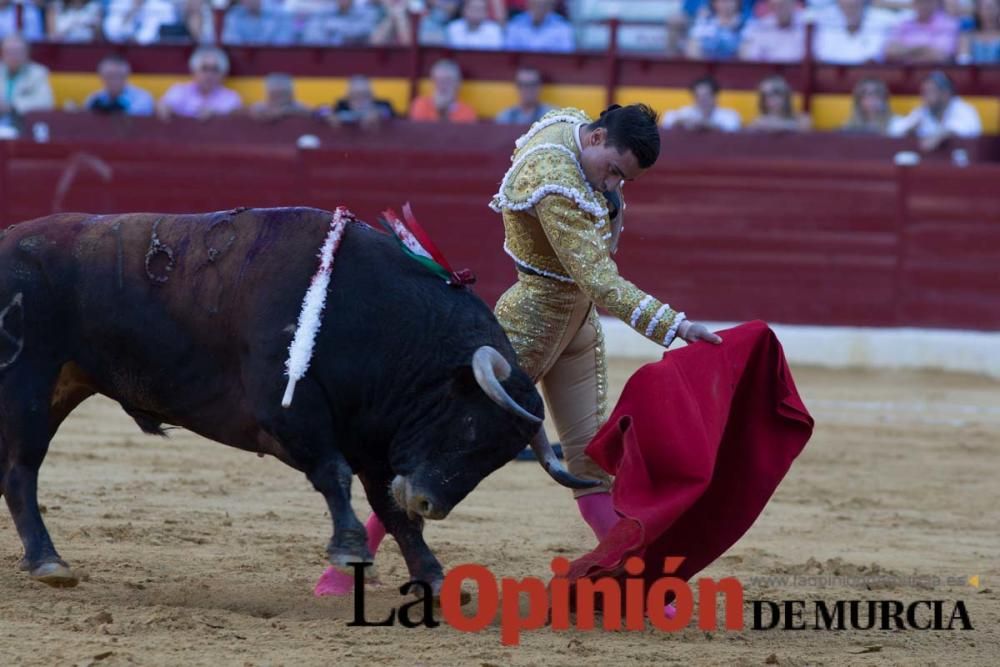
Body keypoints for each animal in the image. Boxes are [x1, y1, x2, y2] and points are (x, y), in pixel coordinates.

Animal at [0, 207, 592, 588]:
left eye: (498, 459)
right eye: (470, 426)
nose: (431, 502)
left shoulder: (372, 441)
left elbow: (391, 511)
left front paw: (433, 576)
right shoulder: (288, 416)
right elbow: (334, 475)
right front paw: (351, 551)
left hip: (60, 386)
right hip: (27, 386)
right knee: (20, 471)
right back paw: (48, 562)